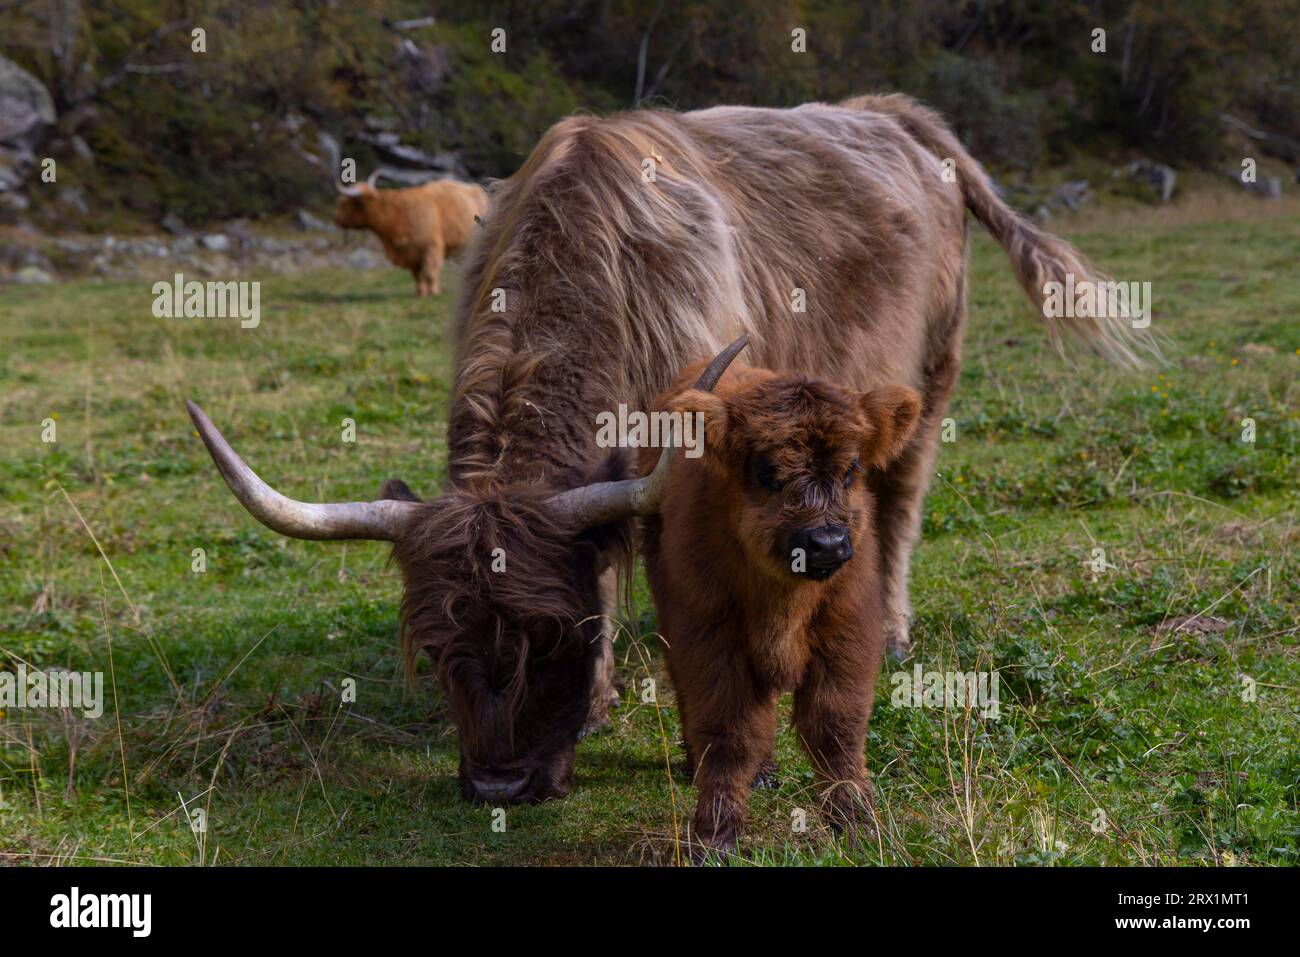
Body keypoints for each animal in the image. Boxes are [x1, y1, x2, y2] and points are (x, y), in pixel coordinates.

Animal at [335, 171, 491, 297]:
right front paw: (421, 293)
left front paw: (434, 292)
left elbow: (430, 272)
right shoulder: (412, 253)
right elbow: (417, 275)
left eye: (346, 203)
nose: (337, 219)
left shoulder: (431, 246)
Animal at [634, 340, 920, 858]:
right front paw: (715, 836)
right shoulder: (707, 635)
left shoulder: (848, 630)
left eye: (852, 470)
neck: (784, 603)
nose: (826, 544)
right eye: (767, 472)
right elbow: (728, 734)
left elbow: (835, 729)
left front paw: (858, 824)